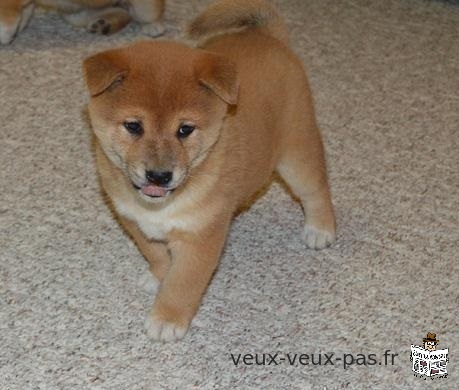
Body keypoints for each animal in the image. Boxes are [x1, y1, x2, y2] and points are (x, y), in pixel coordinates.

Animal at [0, 0, 165, 44]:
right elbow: (22, 17)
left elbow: (6, 24)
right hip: (75, 13)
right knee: (123, 12)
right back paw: (105, 24)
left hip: (144, 7)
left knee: (149, 13)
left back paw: (154, 26)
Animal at [82, 0, 334, 342]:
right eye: (133, 126)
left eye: (185, 129)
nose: (158, 176)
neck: (164, 204)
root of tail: (268, 36)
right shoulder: (134, 221)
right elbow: (157, 255)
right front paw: (158, 276)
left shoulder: (201, 238)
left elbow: (183, 284)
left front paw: (167, 318)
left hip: (297, 153)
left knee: (316, 190)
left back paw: (320, 229)